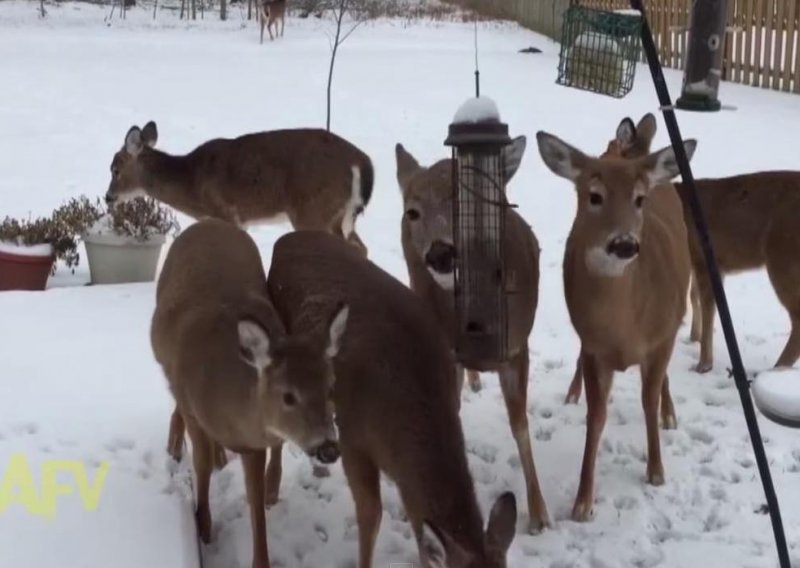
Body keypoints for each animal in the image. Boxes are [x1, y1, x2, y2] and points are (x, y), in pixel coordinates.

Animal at [104, 123, 376, 258]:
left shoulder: (225, 212)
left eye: (115, 169)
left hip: (313, 210)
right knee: (360, 248)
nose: (108, 197)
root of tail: (362, 162)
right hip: (341, 214)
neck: (192, 181)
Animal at [152, 219, 346, 568]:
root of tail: (208, 222)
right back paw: (177, 447)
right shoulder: (192, 407)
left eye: (330, 386)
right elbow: (200, 465)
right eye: (288, 396)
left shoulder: (254, 443)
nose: (328, 448)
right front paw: (203, 527)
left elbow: (256, 505)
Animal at [394, 136, 552, 532]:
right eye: (412, 211)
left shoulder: (517, 349)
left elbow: (520, 425)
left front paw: (539, 513)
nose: (440, 253)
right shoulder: (444, 353)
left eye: (463, 202)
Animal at [536, 126, 696, 520]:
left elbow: (648, 399)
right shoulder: (594, 348)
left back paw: (670, 414)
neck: (624, 328)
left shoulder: (661, 337)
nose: (624, 243)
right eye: (594, 195)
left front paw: (656, 470)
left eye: (639, 199)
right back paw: (572, 392)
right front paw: (582, 502)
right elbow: (596, 416)